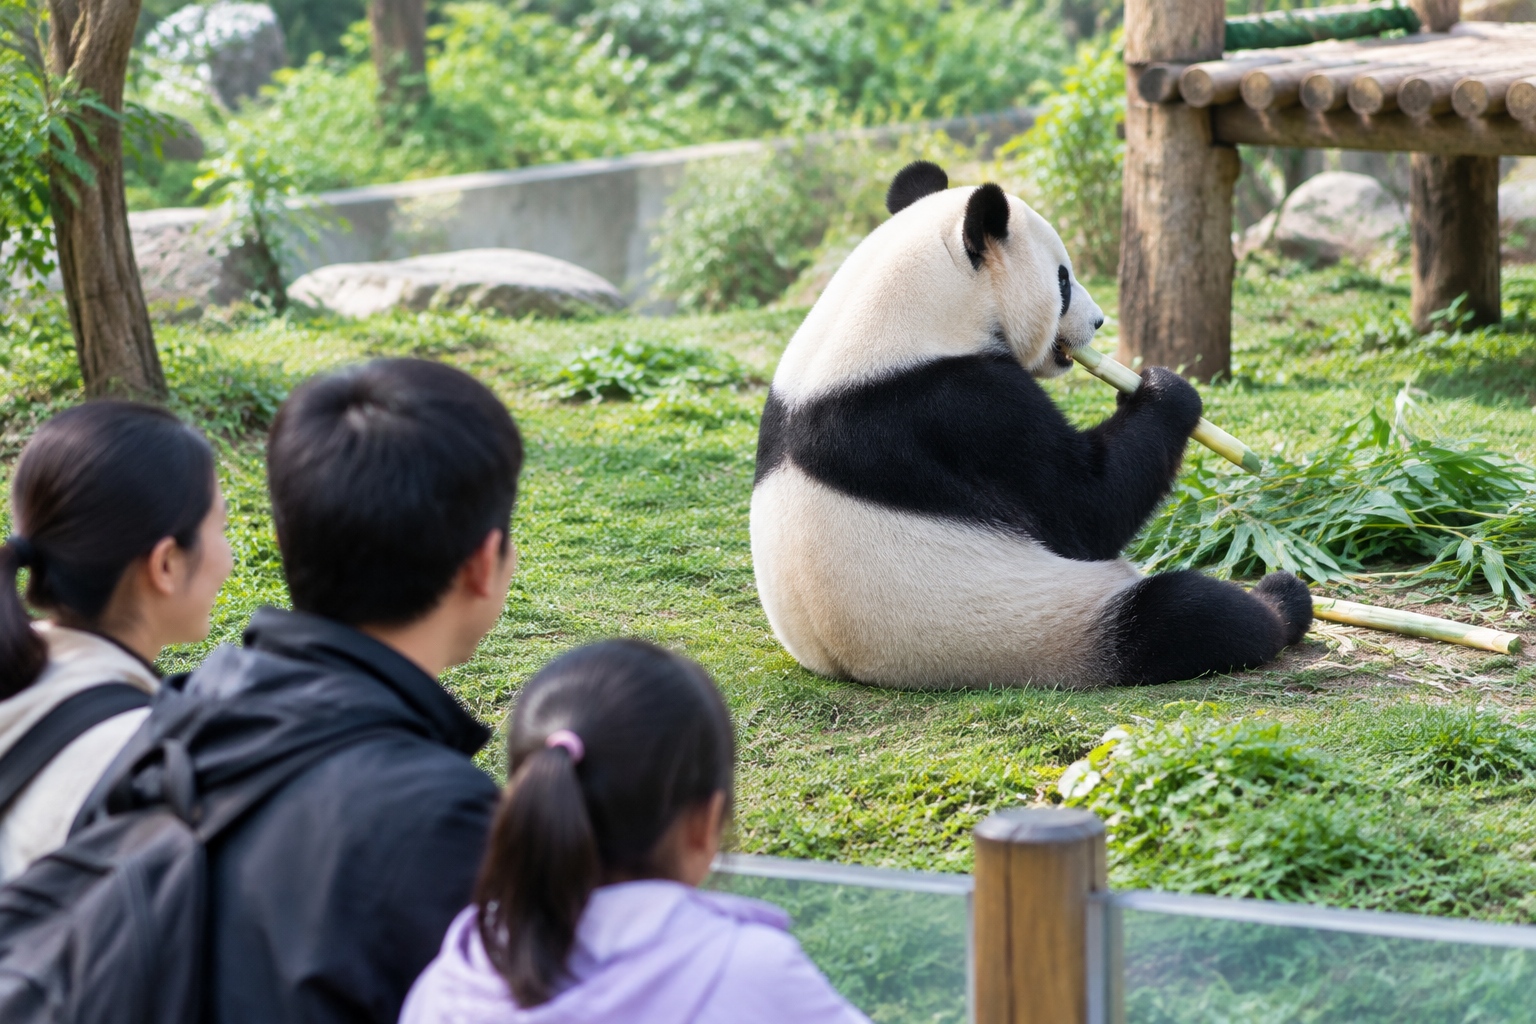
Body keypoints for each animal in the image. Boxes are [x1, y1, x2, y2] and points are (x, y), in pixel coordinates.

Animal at [749, 161, 1313, 690]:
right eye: (1062, 279)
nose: (1099, 322)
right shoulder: (959, 411)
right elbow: (1083, 509)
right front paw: (1166, 390)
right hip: (1047, 625)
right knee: (1182, 615)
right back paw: (1280, 599)